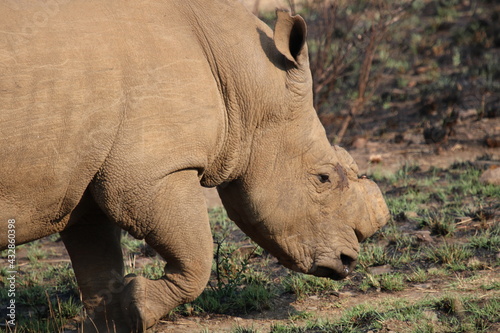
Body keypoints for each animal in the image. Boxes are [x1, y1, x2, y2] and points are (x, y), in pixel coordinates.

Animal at [0, 0, 390, 330]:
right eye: (323, 178)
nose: (347, 262)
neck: (244, 85)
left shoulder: (86, 179)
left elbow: (99, 268)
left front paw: (117, 320)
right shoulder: (150, 174)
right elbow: (198, 258)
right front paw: (138, 306)